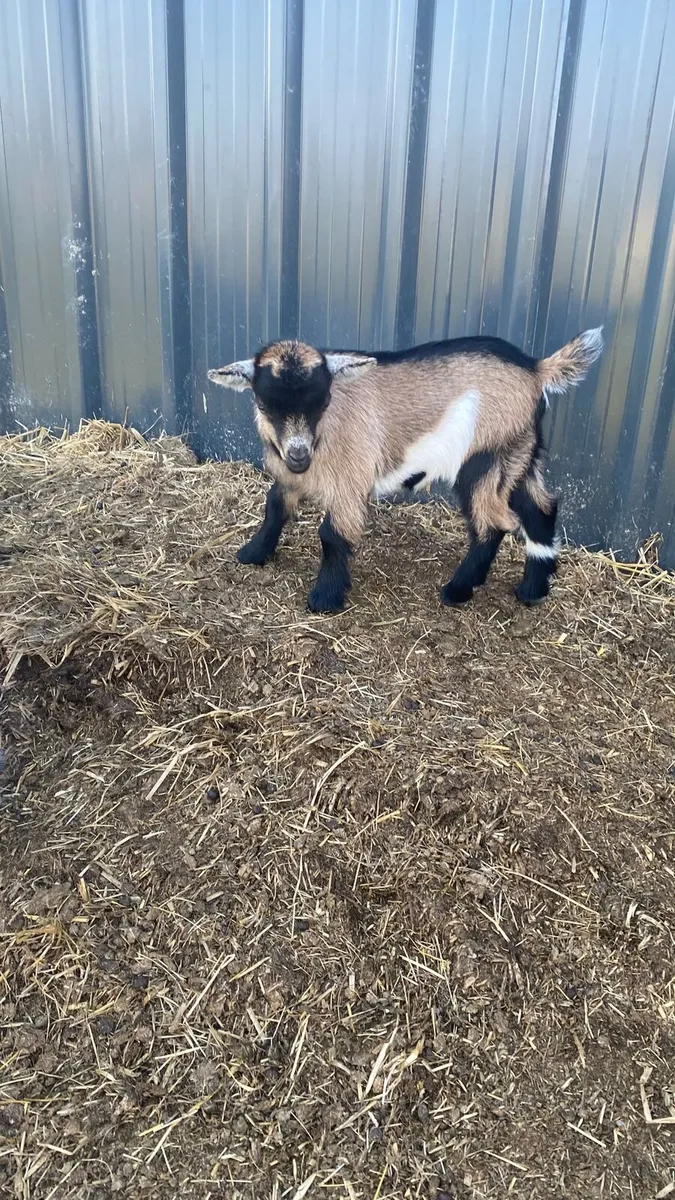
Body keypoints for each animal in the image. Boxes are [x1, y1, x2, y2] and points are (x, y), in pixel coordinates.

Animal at [208, 330, 603, 613]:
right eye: (263, 404)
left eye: (322, 402)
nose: (298, 455)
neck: (322, 436)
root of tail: (538, 369)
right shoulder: (291, 477)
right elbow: (274, 507)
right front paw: (252, 553)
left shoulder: (350, 479)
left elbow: (332, 534)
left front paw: (324, 598)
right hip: (519, 453)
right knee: (541, 508)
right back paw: (532, 590)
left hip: (484, 457)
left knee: (492, 523)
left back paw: (458, 590)